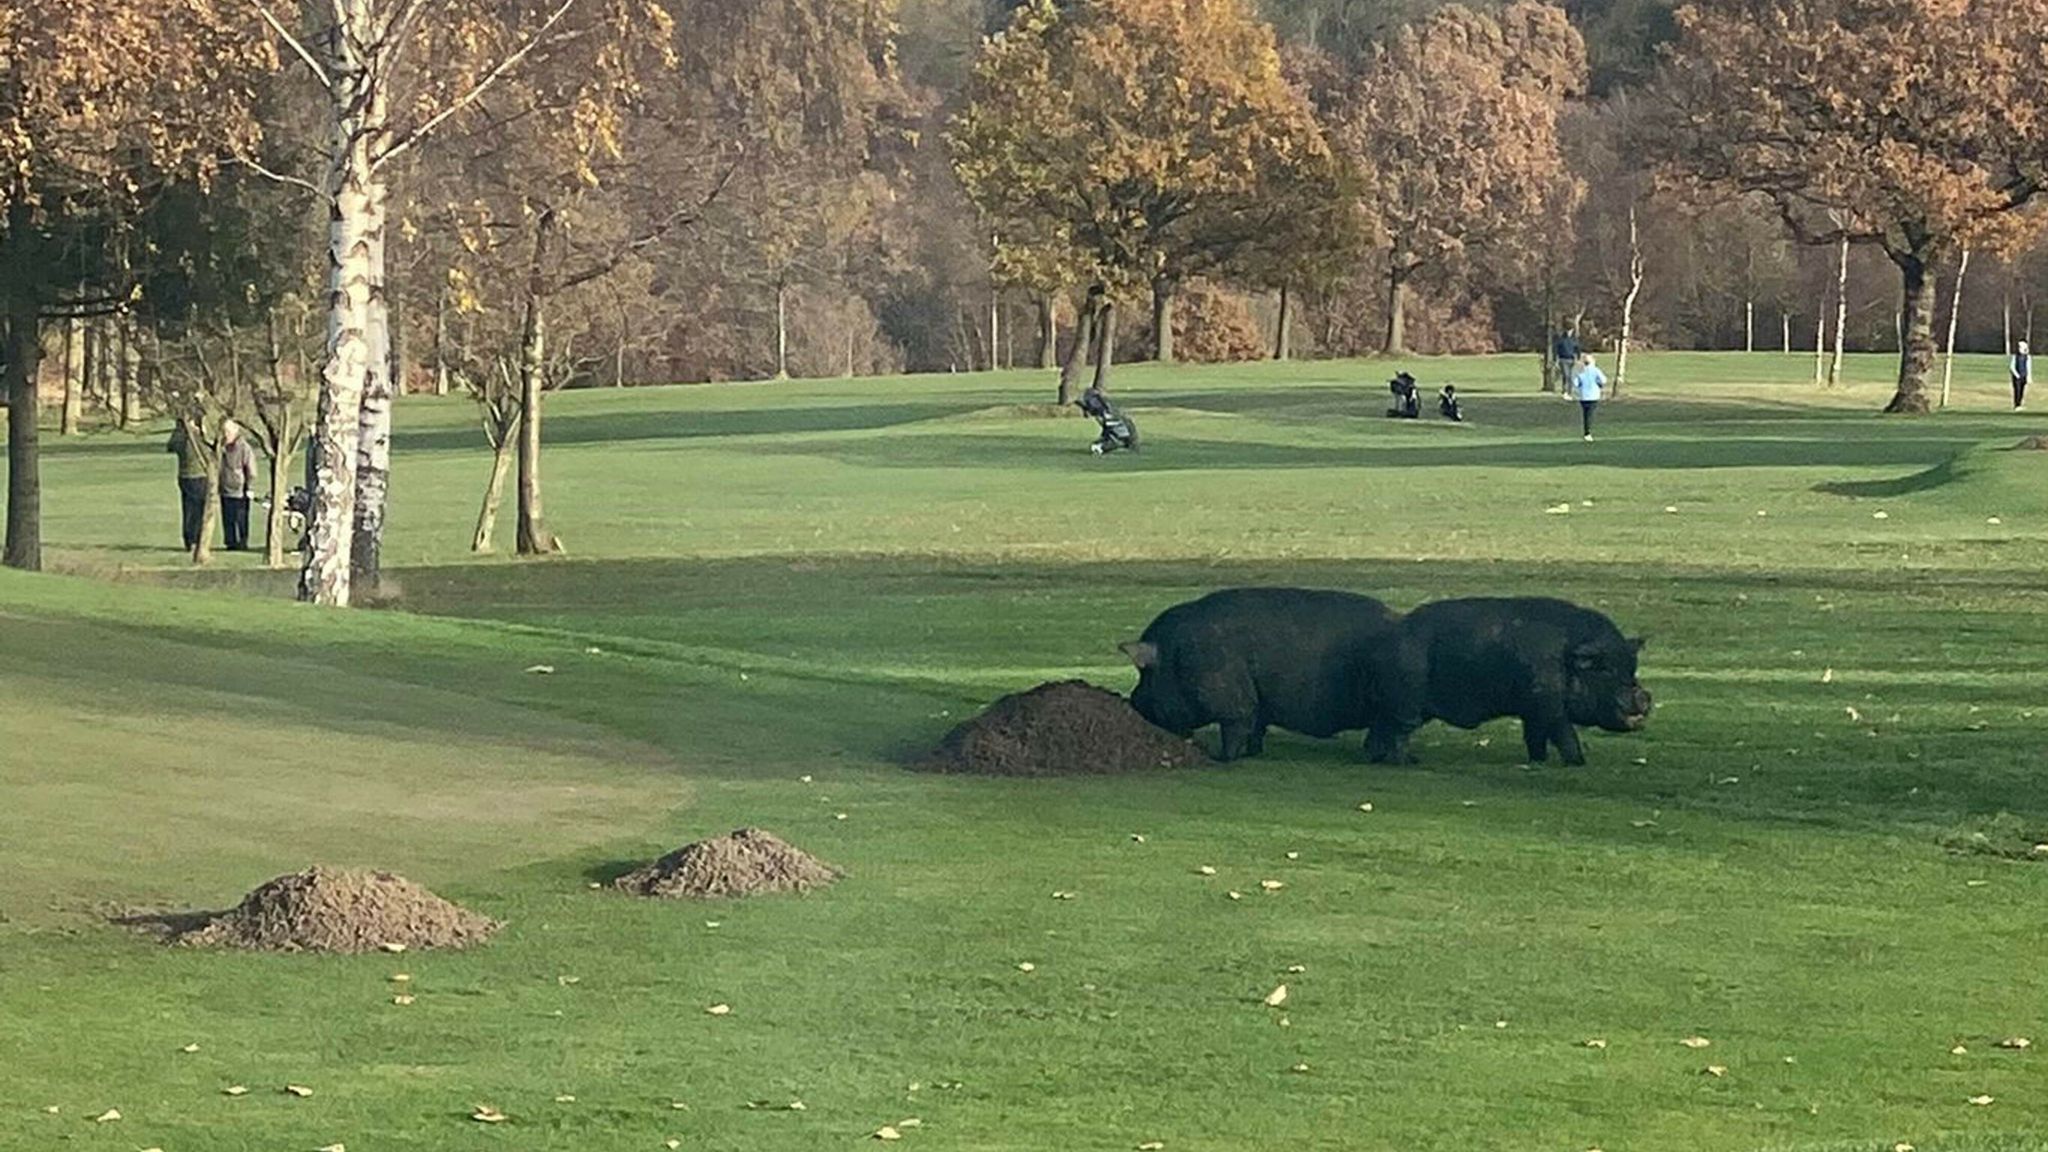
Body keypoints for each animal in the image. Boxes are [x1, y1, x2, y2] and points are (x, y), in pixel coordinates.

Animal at [1122, 586, 1409, 758]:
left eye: (1145, 675)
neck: (1177, 657)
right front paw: (1253, 753)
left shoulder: (1235, 704)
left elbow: (1234, 733)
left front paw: (1221, 758)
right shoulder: (1257, 707)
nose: (1132, 700)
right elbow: (1256, 730)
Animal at [1368, 594, 1654, 766]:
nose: (1645, 696)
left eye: (1632, 669)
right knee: (1398, 730)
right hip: (1407, 701)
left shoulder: (1532, 711)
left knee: (1380, 729)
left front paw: (1538, 761)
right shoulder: (1548, 706)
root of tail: (1386, 637)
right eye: (1607, 670)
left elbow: (1534, 737)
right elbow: (1564, 734)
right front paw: (1578, 763)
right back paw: (1406, 762)